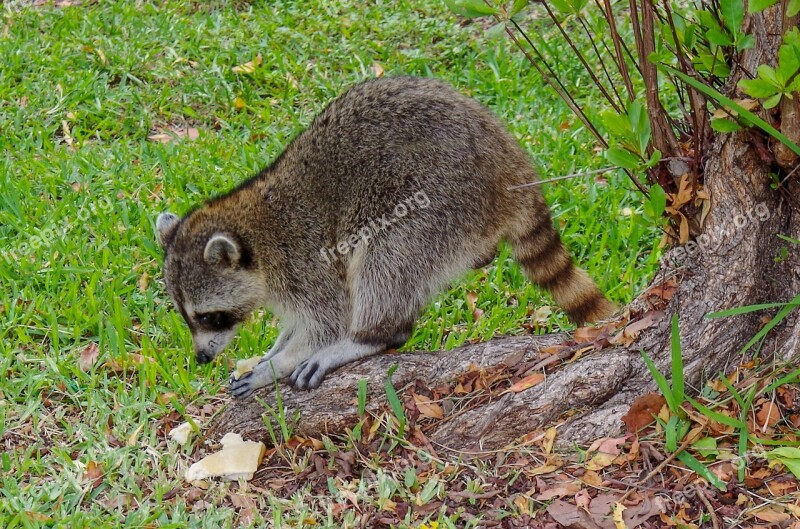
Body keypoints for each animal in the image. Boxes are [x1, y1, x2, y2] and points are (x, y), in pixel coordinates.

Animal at [158, 74, 620, 396]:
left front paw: (282, 362)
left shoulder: (304, 258)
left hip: (440, 200)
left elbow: (327, 320)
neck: (251, 229)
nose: (201, 358)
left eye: (209, 317)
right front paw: (275, 349)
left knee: (386, 254)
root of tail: (511, 165)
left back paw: (372, 335)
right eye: (187, 317)